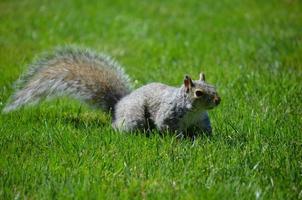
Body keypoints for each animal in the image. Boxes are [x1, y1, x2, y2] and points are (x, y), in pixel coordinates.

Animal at [1, 45, 221, 136]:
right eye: (198, 93)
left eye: (214, 86)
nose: (218, 100)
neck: (193, 111)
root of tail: (118, 106)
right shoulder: (169, 115)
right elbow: (167, 127)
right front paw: (181, 140)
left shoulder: (201, 120)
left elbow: (205, 130)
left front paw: (208, 139)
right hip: (135, 117)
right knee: (121, 127)